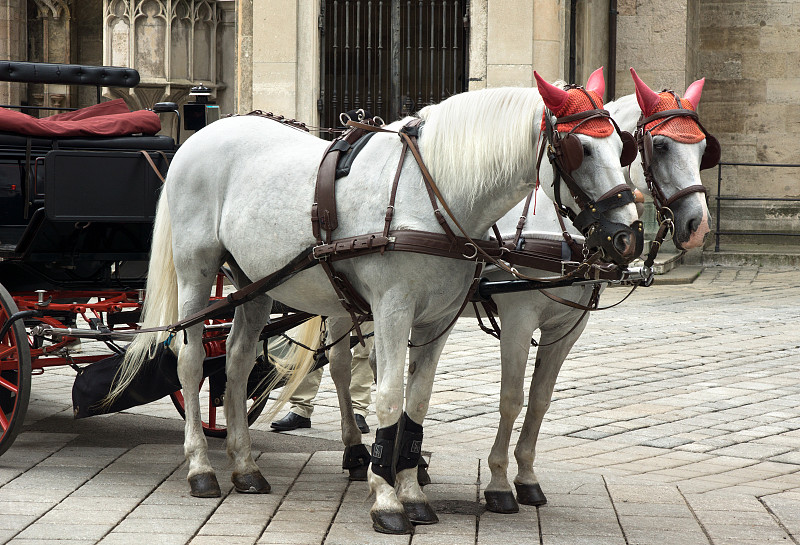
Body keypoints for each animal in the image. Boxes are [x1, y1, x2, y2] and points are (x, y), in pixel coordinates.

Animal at [112, 70, 636, 532]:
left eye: (622, 146)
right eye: (581, 148)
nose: (627, 236)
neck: (431, 196)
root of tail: (201, 135)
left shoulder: (439, 320)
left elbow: (417, 402)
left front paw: (412, 492)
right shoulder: (396, 311)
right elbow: (389, 399)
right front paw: (386, 499)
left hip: (256, 282)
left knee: (237, 365)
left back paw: (245, 467)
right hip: (197, 270)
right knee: (191, 360)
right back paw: (201, 467)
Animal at [328, 69, 716, 516]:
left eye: (704, 148)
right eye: (662, 145)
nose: (698, 226)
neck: (556, 224)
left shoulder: (569, 325)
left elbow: (541, 399)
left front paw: (527, 476)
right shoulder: (518, 317)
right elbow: (512, 397)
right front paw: (498, 482)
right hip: (342, 301)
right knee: (340, 366)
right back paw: (356, 452)